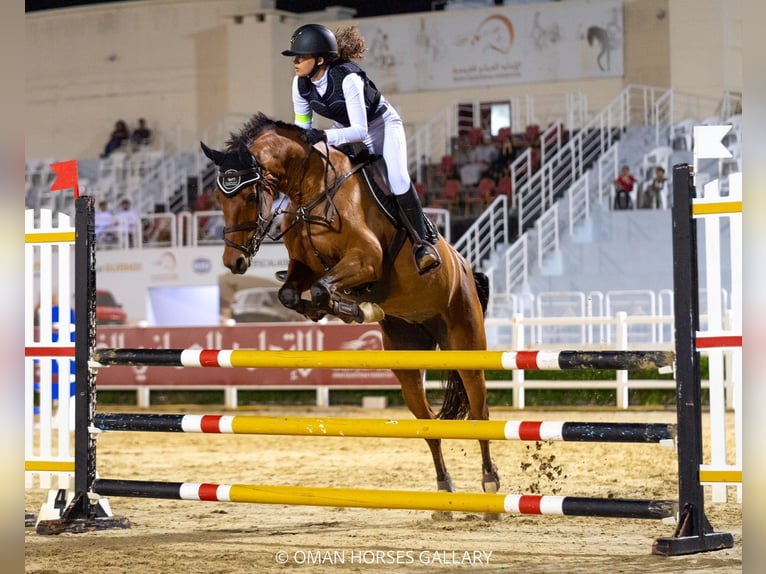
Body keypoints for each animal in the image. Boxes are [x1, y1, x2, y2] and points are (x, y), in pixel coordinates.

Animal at [202, 112, 504, 516]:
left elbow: (321, 288)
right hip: (408, 361)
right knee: (427, 424)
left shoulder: (366, 259)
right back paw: (444, 493)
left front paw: (353, 306)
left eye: (250, 194)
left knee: (480, 412)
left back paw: (490, 487)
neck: (312, 190)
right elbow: (291, 292)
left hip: (466, 343)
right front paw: (346, 309)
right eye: (220, 196)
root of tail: (467, 268)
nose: (233, 261)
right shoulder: (303, 267)